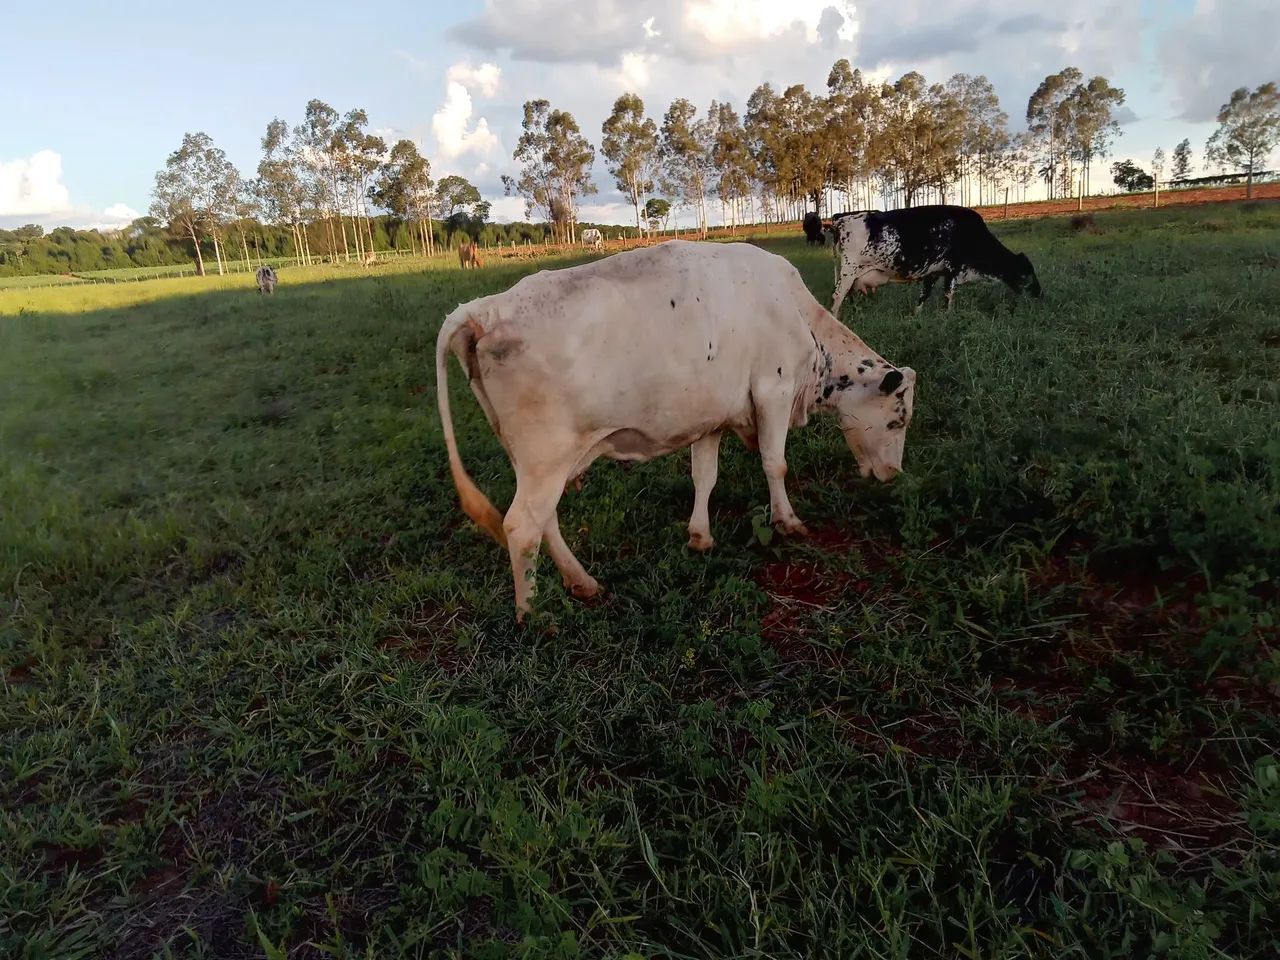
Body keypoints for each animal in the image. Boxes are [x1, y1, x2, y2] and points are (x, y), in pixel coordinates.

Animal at [435, 240, 917, 621]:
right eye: (898, 419)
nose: (894, 474)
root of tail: (480, 310)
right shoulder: (773, 391)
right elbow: (775, 463)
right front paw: (788, 521)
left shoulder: (710, 417)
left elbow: (705, 477)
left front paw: (700, 537)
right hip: (546, 456)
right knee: (521, 526)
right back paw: (533, 615)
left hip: (534, 460)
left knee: (543, 520)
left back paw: (581, 582)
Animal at [830, 205, 1042, 316]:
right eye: (1028, 274)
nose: (1040, 294)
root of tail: (841, 218)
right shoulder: (953, 270)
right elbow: (948, 295)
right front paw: (948, 316)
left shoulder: (934, 272)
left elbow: (924, 295)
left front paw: (916, 315)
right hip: (849, 270)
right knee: (838, 296)